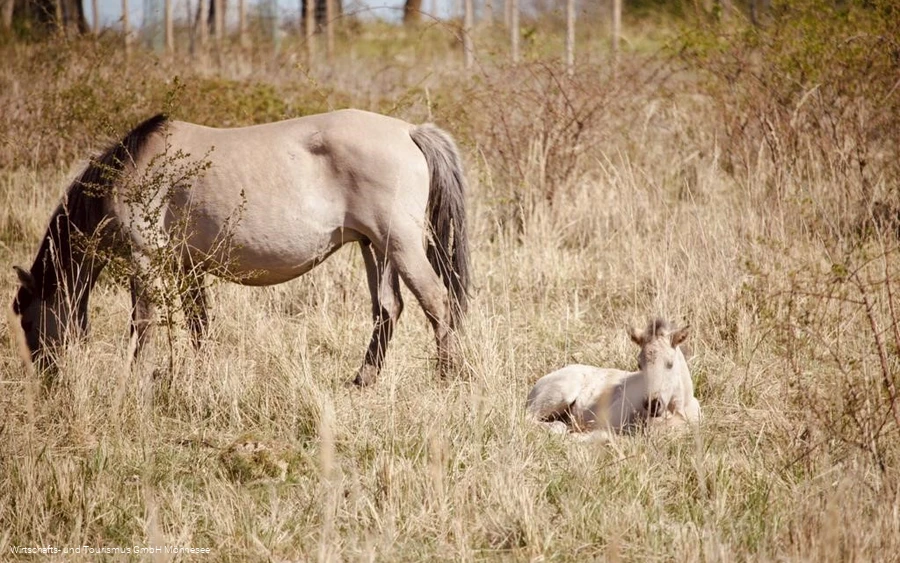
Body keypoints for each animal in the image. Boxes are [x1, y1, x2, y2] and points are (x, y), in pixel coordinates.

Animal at [11, 109, 471, 386]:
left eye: (28, 320)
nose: (46, 380)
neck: (135, 169)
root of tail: (409, 131)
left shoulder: (146, 260)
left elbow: (143, 323)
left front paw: (136, 378)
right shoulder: (188, 266)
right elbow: (198, 323)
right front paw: (200, 375)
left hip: (400, 245)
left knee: (437, 301)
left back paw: (449, 376)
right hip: (375, 247)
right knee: (388, 309)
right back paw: (365, 379)